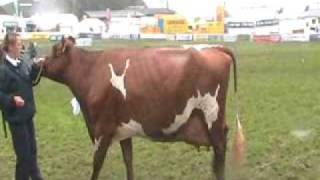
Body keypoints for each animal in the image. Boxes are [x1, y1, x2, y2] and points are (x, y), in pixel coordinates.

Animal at [38, 39, 244, 180]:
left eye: (55, 51)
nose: (37, 62)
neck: (91, 70)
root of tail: (215, 47)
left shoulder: (102, 130)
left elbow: (97, 164)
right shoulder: (123, 129)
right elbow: (128, 160)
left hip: (212, 116)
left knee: (220, 152)